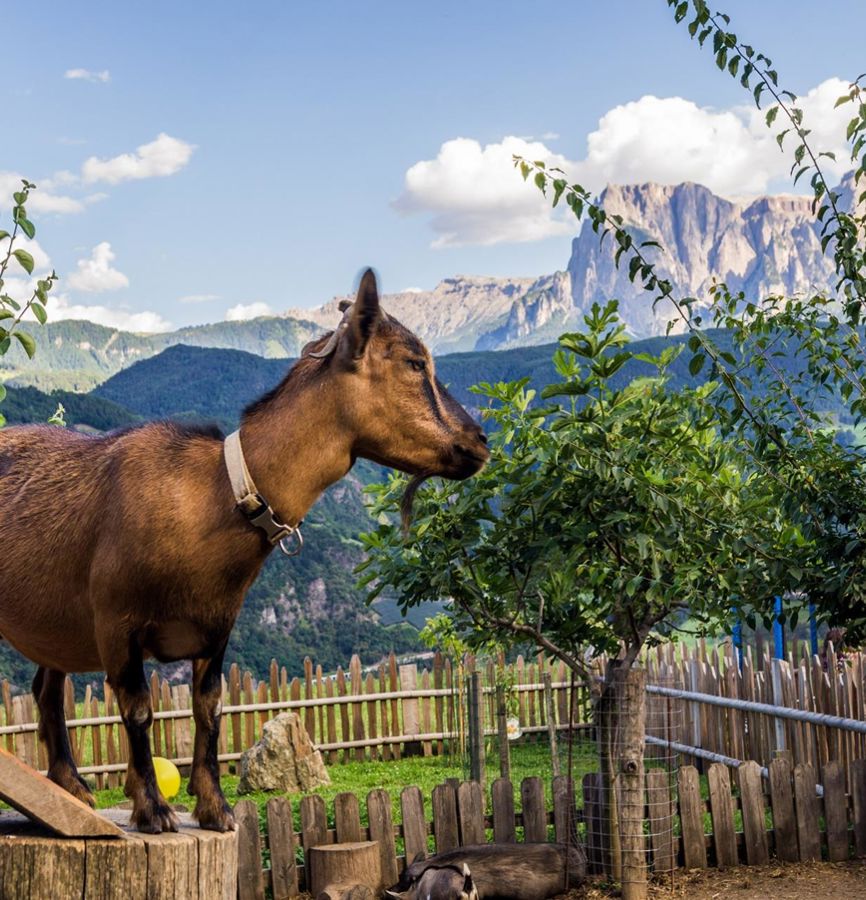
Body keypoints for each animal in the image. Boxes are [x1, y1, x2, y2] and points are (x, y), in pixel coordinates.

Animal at [0, 270, 486, 832]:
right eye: (413, 362)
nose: (479, 442)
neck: (214, 494)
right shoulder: (116, 623)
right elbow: (139, 710)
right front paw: (154, 808)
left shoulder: (216, 628)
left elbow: (210, 711)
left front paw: (216, 809)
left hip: (55, 622)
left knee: (45, 686)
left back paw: (71, 785)